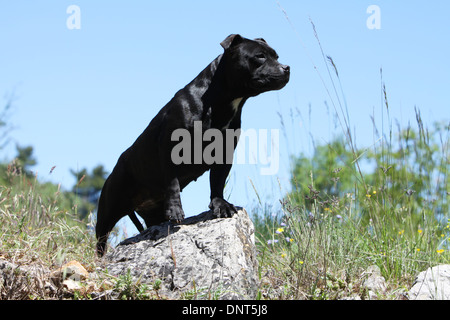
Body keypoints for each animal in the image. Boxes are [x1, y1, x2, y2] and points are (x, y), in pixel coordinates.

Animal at [96, 34, 290, 255]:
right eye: (260, 56)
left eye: (276, 56)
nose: (286, 68)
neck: (222, 100)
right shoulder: (169, 146)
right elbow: (172, 181)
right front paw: (176, 209)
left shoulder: (224, 153)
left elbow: (217, 182)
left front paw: (220, 204)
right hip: (107, 210)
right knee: (100, 240)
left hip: (153, 213)